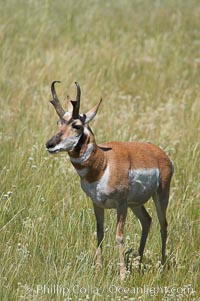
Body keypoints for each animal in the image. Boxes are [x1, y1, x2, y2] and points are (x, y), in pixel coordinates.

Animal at [46, 81, 173, 278]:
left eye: (76, 125)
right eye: (58, 122)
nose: (50, 144)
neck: (103, 164)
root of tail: (158, 152)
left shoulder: (120, 204)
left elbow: (119, 236)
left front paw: (122, 275)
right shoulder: (97, 204)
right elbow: (99, 233)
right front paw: (98, 270)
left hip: (160, 196)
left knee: (163, 225)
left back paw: (162, 264)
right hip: (135, 204)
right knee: (147, 221)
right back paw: (138, 262)